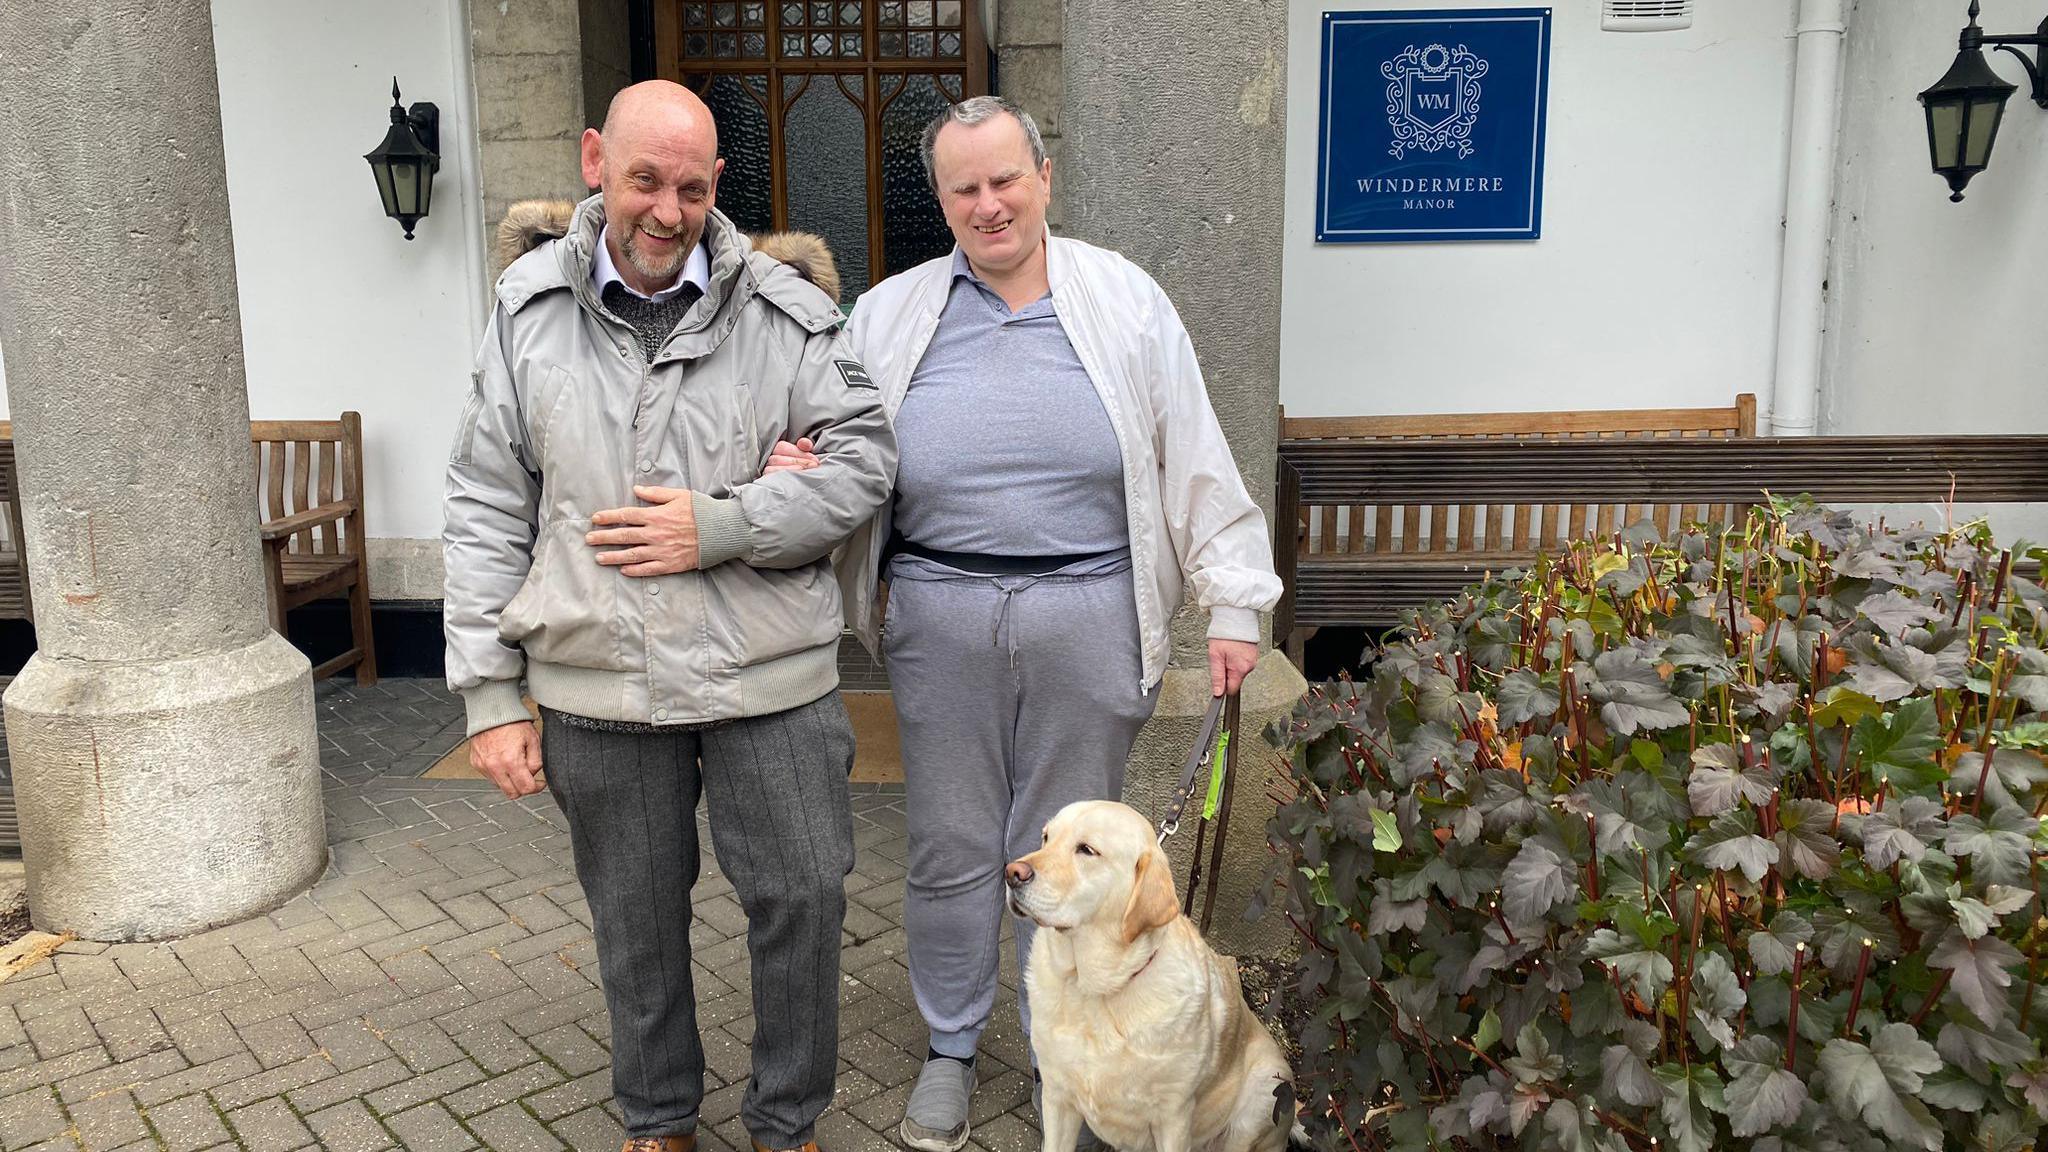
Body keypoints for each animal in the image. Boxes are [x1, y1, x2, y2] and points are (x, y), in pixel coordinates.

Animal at [1007, 795, 1294, 1147]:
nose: (1012, 872)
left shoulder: (1173, 1117)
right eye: (1046, 838)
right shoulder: (1057, 1097)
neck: (1094, 988)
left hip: (1267, 1093)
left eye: (1087, 850)